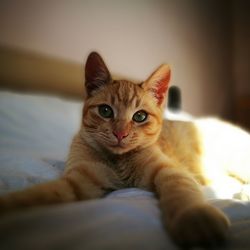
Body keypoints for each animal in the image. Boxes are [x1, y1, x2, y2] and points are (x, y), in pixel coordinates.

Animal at [0, 51, 250, 247]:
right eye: (105, 111)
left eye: (139, 116)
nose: (120, 133)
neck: (118, 162)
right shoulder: (80, 181)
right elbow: (36, 195)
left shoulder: (169, 170)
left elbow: (182, 191)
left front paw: (194, 217)